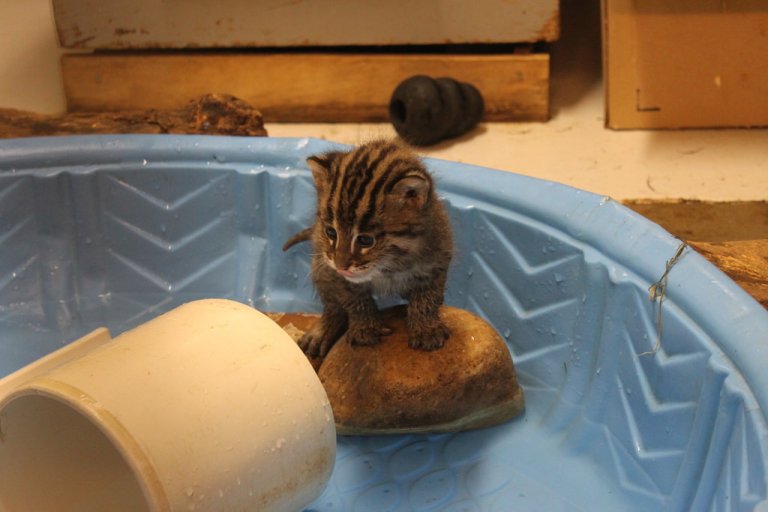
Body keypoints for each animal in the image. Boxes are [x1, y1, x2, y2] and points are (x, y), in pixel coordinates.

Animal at [283, 139, 453, 358]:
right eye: (331, 232)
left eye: (365, 240)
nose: (341, 265)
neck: (389, 267)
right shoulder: (333, 272)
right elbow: (353, 298)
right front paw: (365, 327)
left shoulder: (438, 260)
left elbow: (428, 297)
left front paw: (426, 328)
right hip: (319, 267)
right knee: (332, 304)